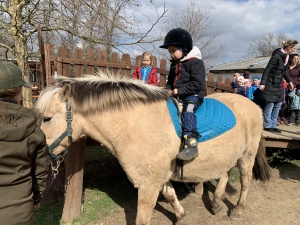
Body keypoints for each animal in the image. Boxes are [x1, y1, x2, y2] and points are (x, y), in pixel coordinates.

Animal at [34, 75, 270, 225]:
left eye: (47, 118)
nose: (41, 157)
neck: (135, 124)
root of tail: (253, 105)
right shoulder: (157, 178)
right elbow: (171, 195)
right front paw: (181, 216)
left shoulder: (148, 186)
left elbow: (143, 219)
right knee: (225, 172)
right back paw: (217, 203)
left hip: (247, 154)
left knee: (245, 179)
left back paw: (237, 209)